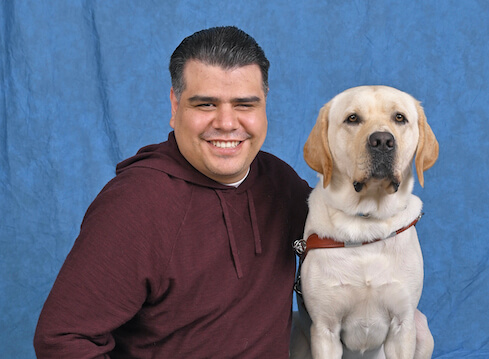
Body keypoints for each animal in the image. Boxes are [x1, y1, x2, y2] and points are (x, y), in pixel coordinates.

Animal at [290, 86, 438, 358]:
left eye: (399, 118)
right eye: (352, 118)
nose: (382, 141)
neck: (367, 221)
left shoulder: (403, 324)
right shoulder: (325, 329)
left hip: (421, 325)